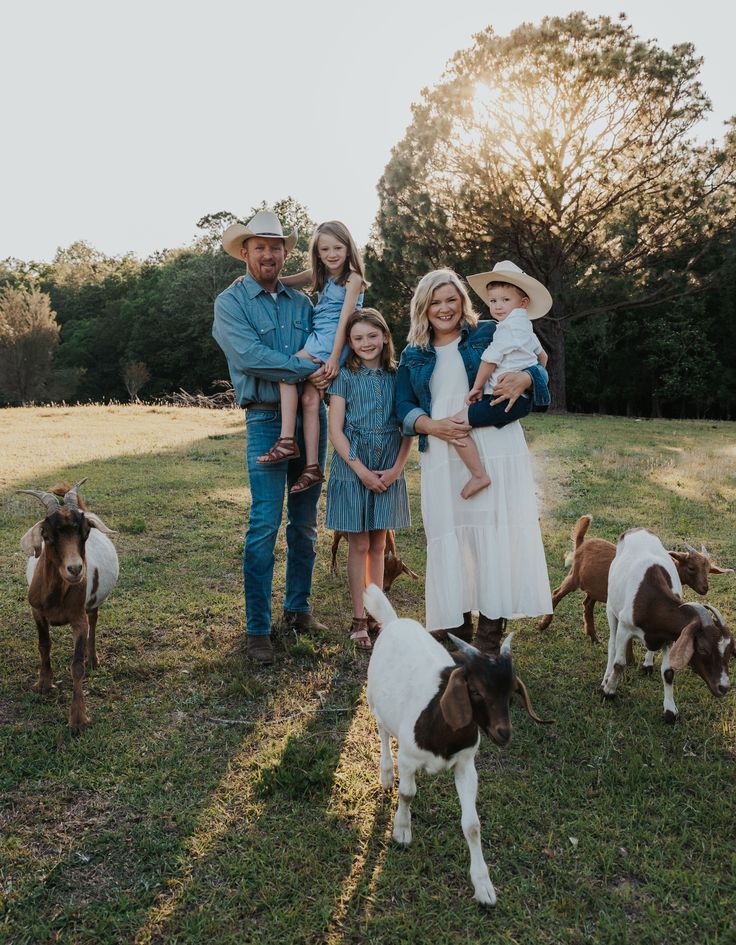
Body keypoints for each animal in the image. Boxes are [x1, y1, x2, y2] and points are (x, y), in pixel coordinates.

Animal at [20, 484, 118, 732]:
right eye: (47, 536)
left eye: (85, 533)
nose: (75, 569)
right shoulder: (37, 612)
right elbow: (44, 646)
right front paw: (44, 684)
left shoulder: (78, 619)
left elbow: (76, 667)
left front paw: (78, 719)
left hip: (92, 604)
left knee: (93, 622)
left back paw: (92, 659)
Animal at [536, 512, 732, 644]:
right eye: (691, 568)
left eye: (708, 570)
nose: (705, 588)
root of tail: (581, 544)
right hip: (575, 577)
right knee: (557, 593)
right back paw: (543, 624)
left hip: (596, 588)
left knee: (587, 605)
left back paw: (593, 636)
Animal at [600, 528, 732, 720]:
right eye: (703, 649)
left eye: (730, 650)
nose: (723, 687)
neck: (651, 601)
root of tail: (637, 530)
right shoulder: (625, 627)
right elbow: (619, 663)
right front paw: (609, 691)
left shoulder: (670, 637)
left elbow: (668, 672)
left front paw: (670, 711)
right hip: (611, 607)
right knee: (611, 644)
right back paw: (605, 678)